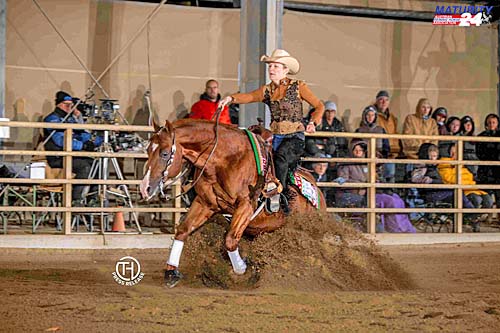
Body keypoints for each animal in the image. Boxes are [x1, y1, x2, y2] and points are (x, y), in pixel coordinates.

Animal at [140, 118, 324, 286]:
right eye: (148, 150)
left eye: (164, 153)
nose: (145, 188)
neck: (226, 160)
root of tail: (318, 192)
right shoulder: (205, 204)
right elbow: (183, 230)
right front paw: (171, 272)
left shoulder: (246, 206)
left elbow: (230, 240)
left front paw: (242, 269)